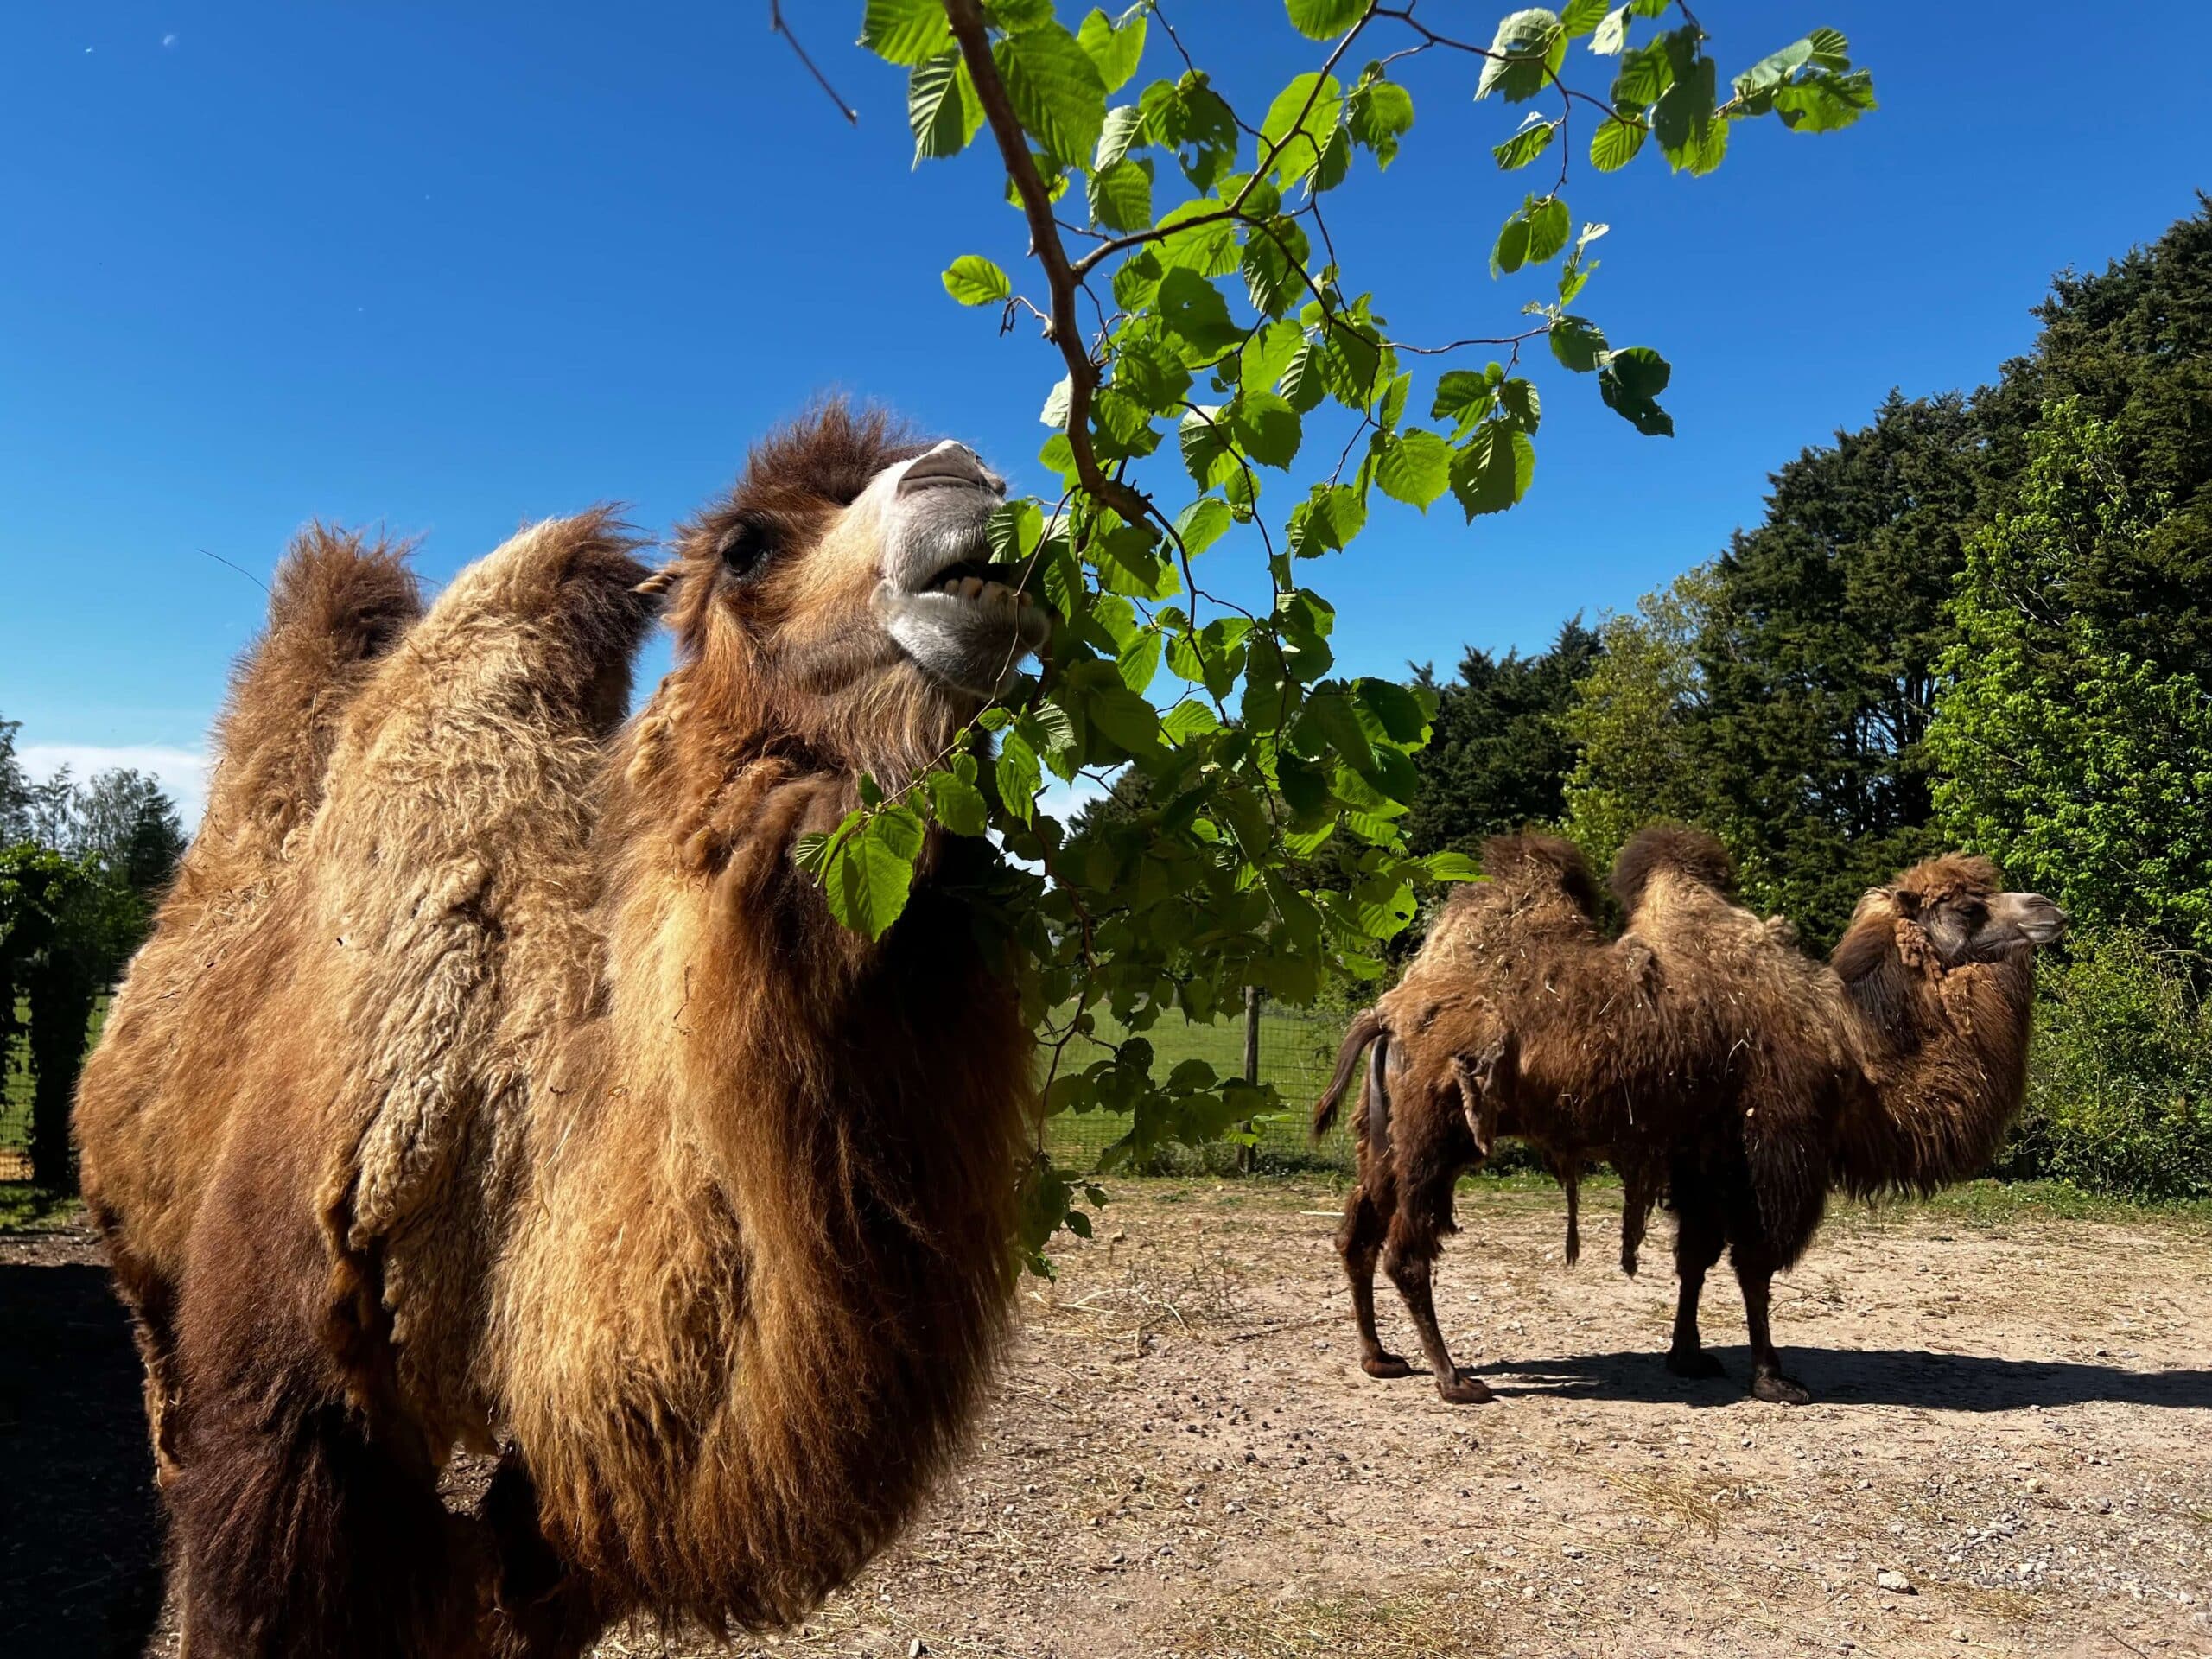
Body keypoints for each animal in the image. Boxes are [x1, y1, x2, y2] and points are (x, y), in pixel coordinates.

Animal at [74, 406, 1052, 1656]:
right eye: (745, 549)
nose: (969, 486)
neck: (505, 1106)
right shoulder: (287, 1405)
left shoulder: (546, 1494)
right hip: (139, 1259)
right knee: (166, 1411)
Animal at [1313, 826, 2066, 1406]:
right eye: (1967, 908)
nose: (2048, 907)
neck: (1856, 1050)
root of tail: (1389, 1016)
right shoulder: (1777, 1144)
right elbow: (1755, 1265)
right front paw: (1774, 1378)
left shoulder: (1704, 1151)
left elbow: (1696, 1257)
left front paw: (1689, 1355)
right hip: (1435, 1132)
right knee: (1407, 1249)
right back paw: (1454, 1380)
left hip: (1382, 1133)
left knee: (1356, 1230)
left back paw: (1379, 1358)